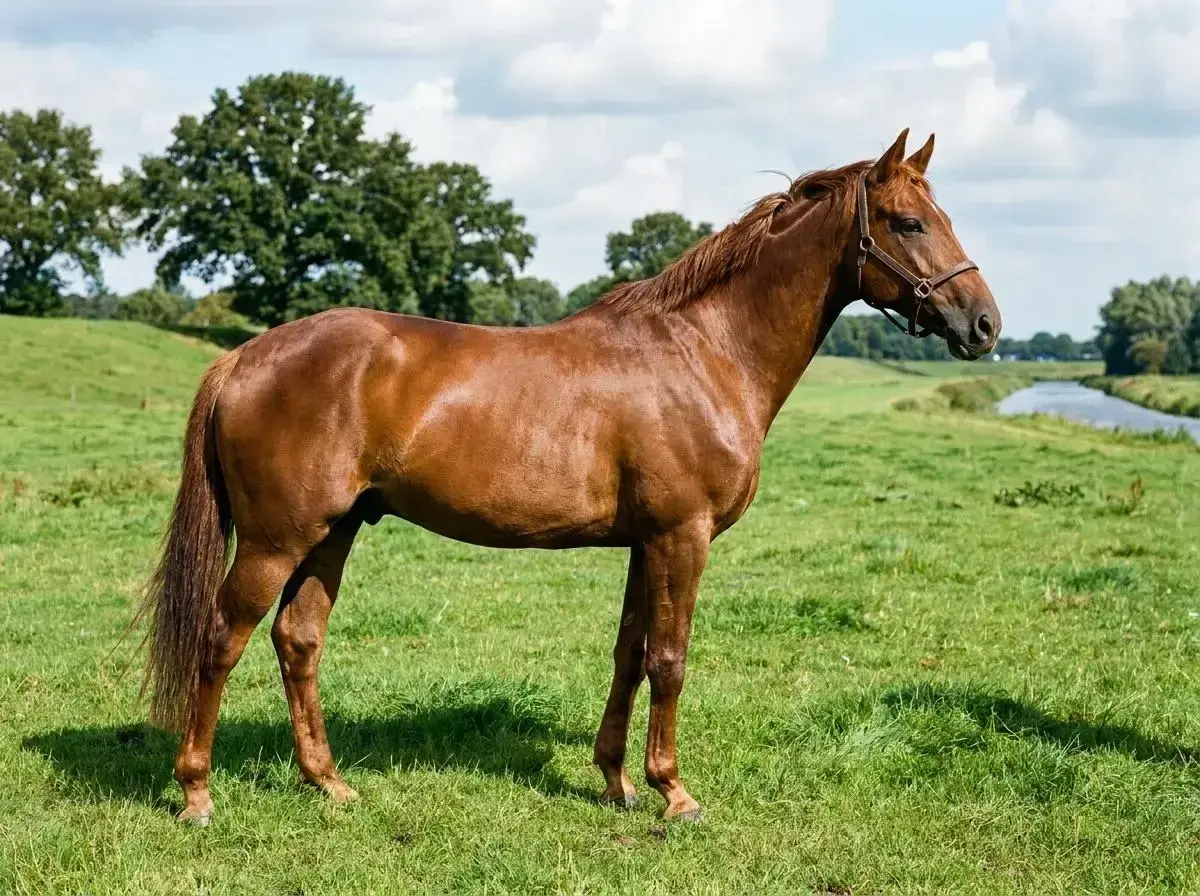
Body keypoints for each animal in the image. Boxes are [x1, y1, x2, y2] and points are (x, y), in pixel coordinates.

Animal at [135, 128, 1001, 825]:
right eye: (910, 222)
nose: (985, 324)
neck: (704, 352)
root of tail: (245, 356)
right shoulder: (681, 537)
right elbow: (670, 659)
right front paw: (674, 793)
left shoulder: (645, 543)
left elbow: (629, 653)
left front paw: (617, 782)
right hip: (275, 540)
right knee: (223, 638)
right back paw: (197, 793)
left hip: (333, 531)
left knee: (298, 638)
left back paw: (330, 783)